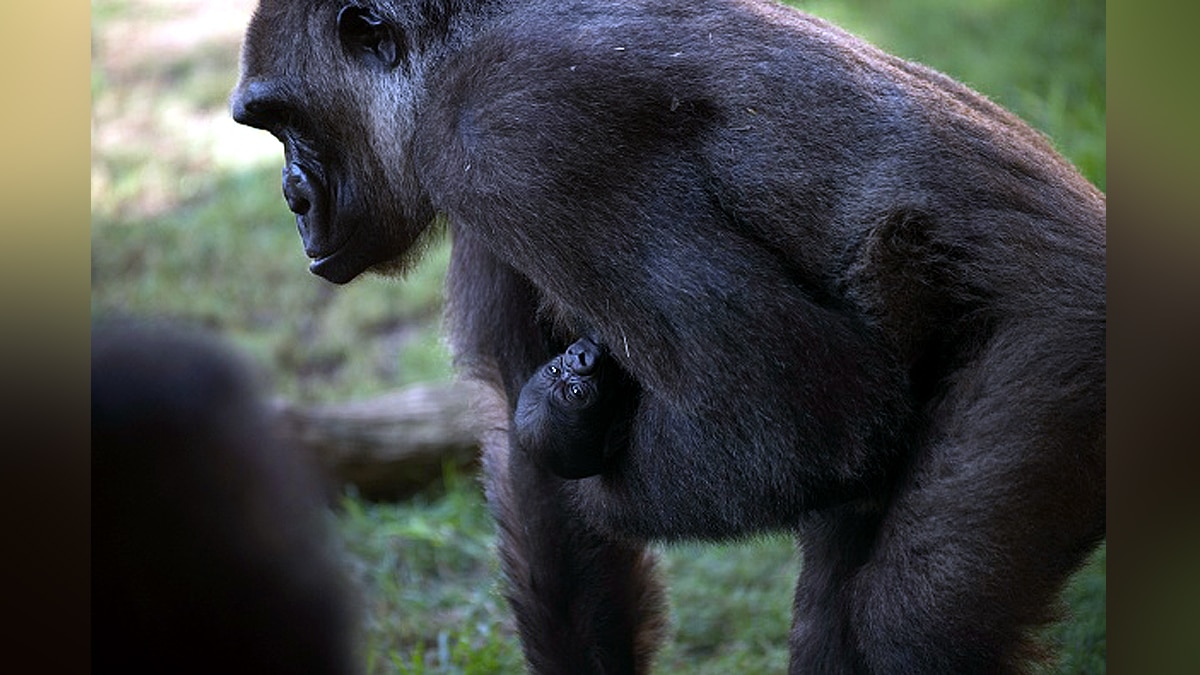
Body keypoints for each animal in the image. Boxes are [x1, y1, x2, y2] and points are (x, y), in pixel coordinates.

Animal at [230, 1, 1106, 672]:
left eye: (282, 119)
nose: (292, 199)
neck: (460, 40)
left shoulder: (503, 128)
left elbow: (802, 412)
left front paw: (585, 448)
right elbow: (533, 464)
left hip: (1063, 353)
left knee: (911, 619)